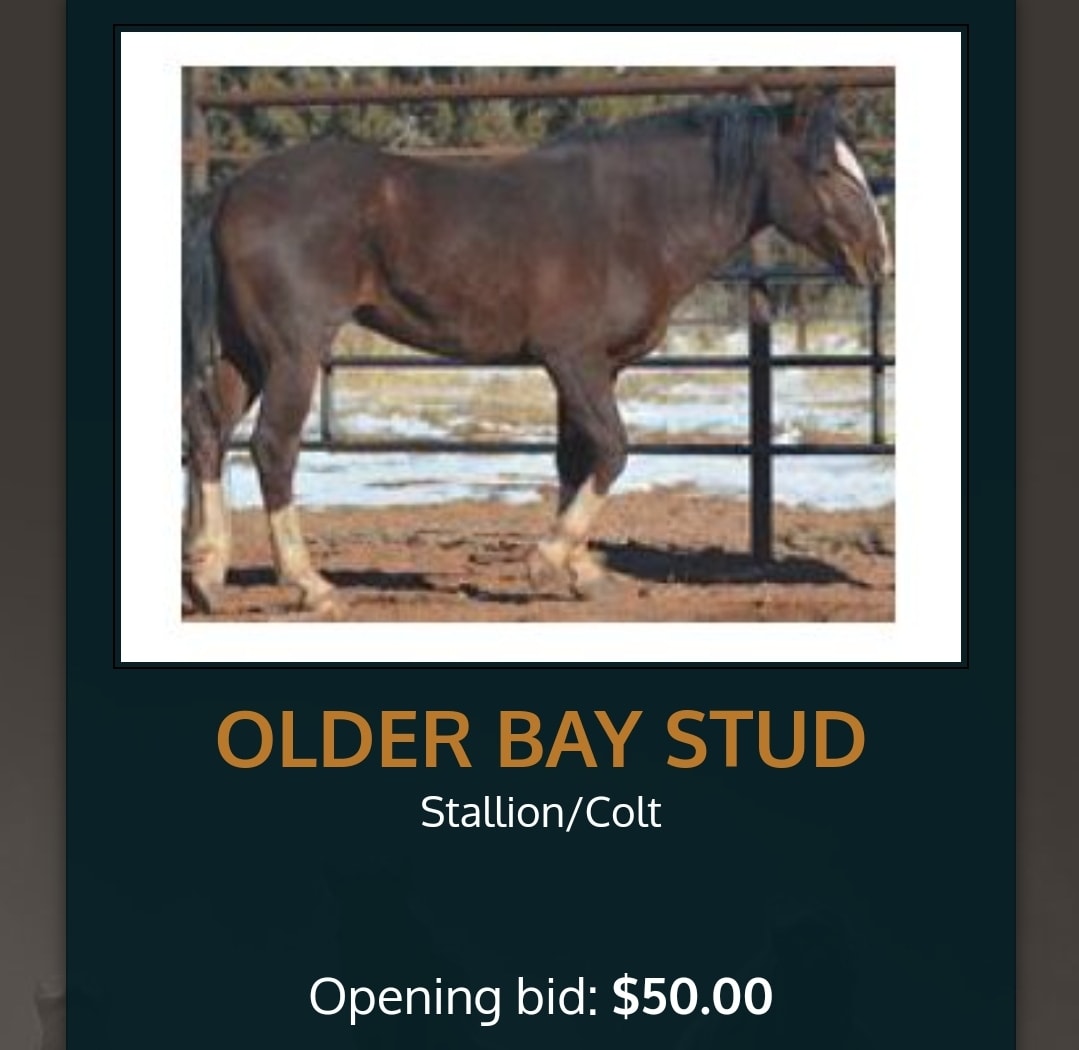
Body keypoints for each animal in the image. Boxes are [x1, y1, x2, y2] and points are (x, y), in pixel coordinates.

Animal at [182, 92, 891, 615]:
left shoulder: (594, 368)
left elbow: (577, 458)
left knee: (210, 431)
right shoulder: (572, 359)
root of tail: (231, 191)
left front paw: (581, 572)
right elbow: (612, 450)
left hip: (248, 352)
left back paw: (205, 573)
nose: (877, 259)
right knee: (273, 448)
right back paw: (310, 585)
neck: (633, 217)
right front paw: (548, 561)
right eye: (826, 171)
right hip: (292, 353)